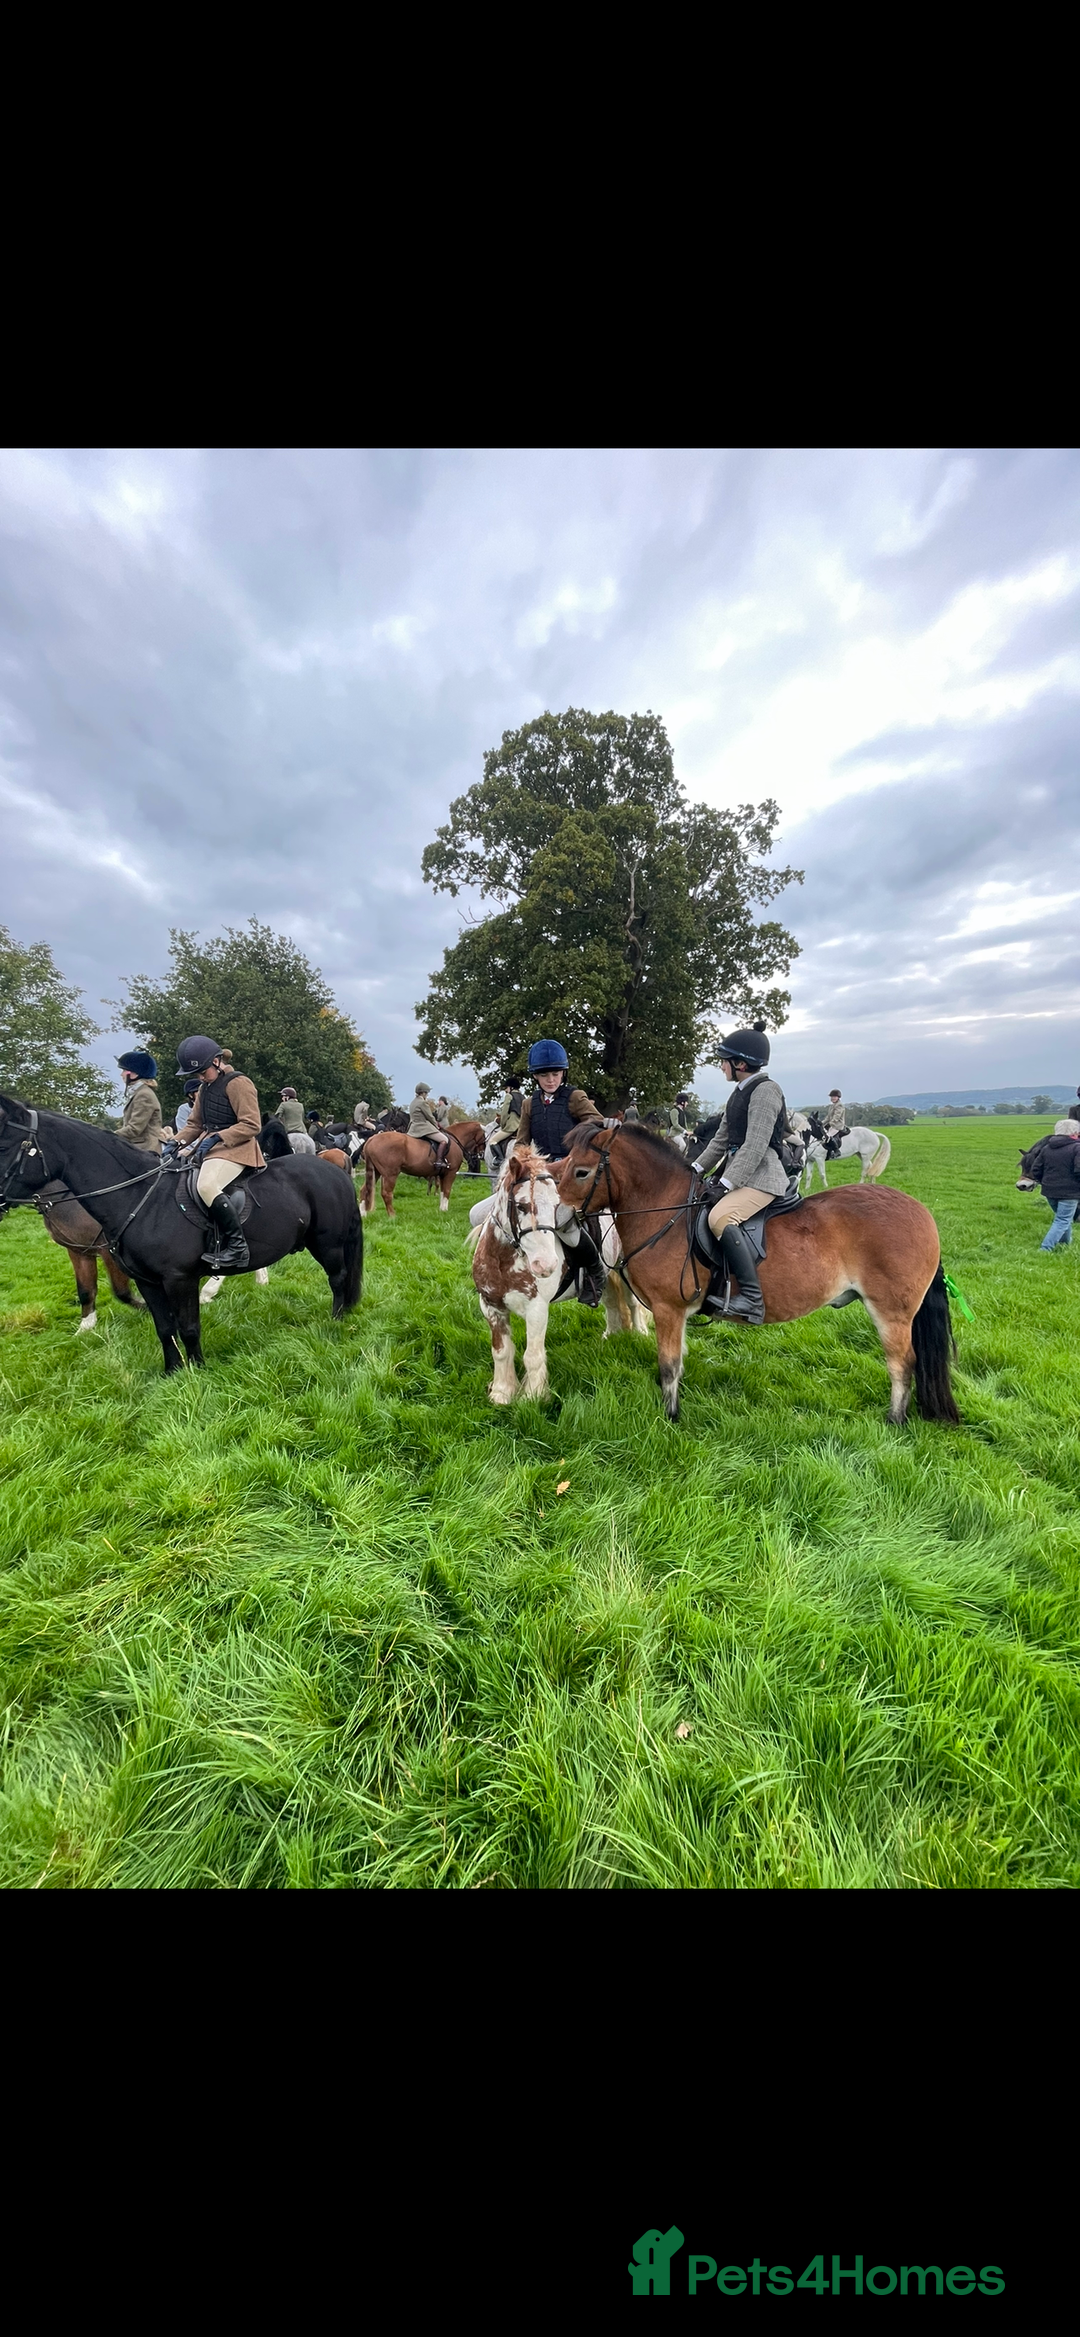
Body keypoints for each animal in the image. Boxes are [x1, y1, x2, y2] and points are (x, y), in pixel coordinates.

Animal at [0, 1096, 363, 1374]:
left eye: (6, 1145)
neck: (140, 1197)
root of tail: (334, 1170)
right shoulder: (146, 1280)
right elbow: (164, 1327)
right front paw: (172, 1372)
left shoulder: (179, 1279)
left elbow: (188, 1327)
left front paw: (197, 1371)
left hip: (327, 1244)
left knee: (338, 1278)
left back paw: (337, 1320)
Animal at [469, 1146, 651, 1404]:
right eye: (521, 1206)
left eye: (557, 1206)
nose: (546, 1265)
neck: (503, 1261)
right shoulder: (491, 1306)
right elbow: (502, 1351)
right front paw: (502, 1393)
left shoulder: (536, 1309)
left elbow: (532, 1355)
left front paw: (533, 1396)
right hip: (605, 1276)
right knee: (611, 1303)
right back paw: (611, 1335)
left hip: (623, 1267)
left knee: (633, 1303)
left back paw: (641, 1334)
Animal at [553, 1122, 958, 1426]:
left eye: (582, 1172)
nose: (557, 1218)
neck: (668, 1213)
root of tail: (923, 1213)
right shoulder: (676, 1315)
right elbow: (678, 1364)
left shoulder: (669, 1310)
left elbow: (669, 1367)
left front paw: (671, 1417)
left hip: (891, 1312)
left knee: (902, 1364)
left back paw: (895, 1420)